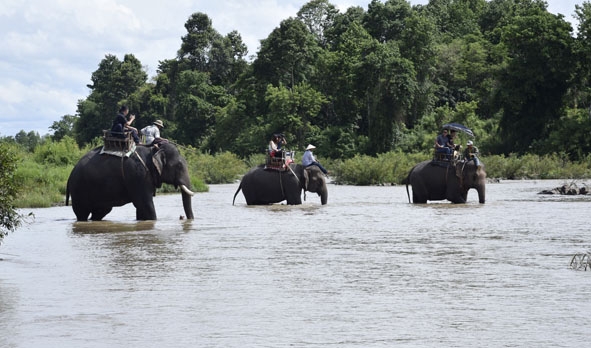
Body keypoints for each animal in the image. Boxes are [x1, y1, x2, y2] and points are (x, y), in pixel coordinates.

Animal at [65, 143, 195, 222]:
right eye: (179, 166)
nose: (183, 218)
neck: (153, 150)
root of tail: (70, 175)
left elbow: (141, 207)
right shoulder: (139, 175)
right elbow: (145, 203)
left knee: (101, 211)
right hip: (79, 190)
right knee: (82, 213)